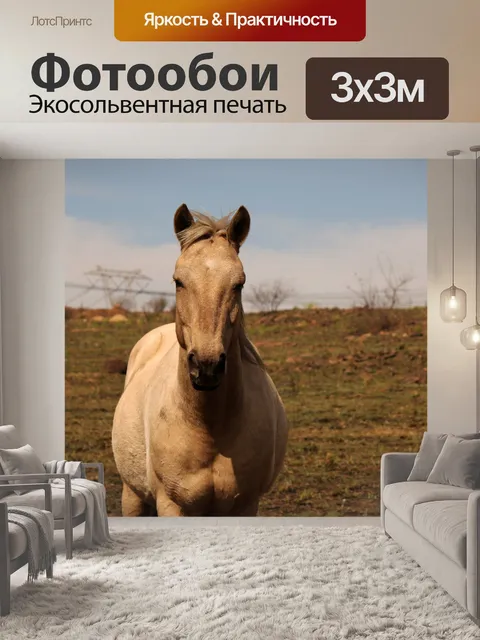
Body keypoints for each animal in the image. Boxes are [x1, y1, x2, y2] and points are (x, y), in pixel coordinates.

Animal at [111, 204, 289, 516]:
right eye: (178, 281)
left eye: (239, 284)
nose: (207, 367)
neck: (210, 427)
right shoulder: (172, 505)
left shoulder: (245, 505)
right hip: (132, 495)